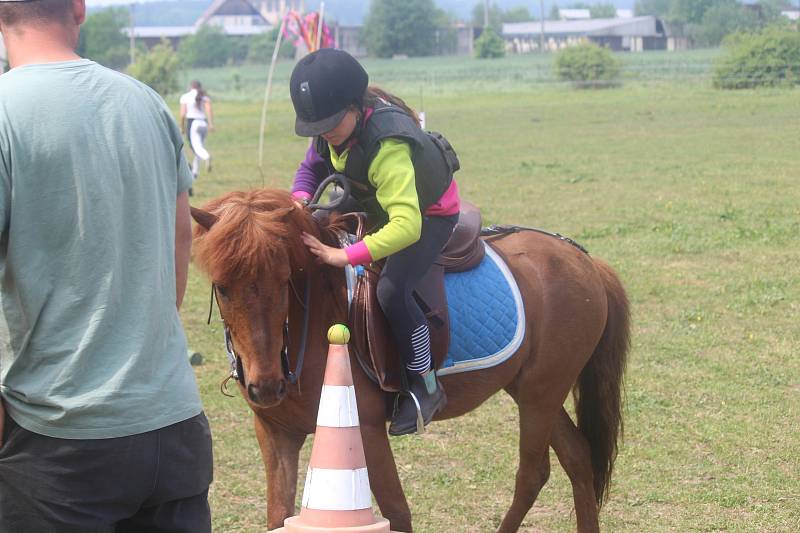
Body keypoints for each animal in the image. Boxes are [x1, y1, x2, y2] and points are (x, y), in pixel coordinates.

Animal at [191, 189, 628, 528]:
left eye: (284, 280)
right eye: (222, 287)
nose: (265, 386)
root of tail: (585, 260)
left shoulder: (366, 429)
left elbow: (397, 513)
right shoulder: (276, 434)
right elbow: (278, 515)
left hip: (542, 393)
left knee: (533, 473)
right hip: (532, 390)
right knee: (577, 456)